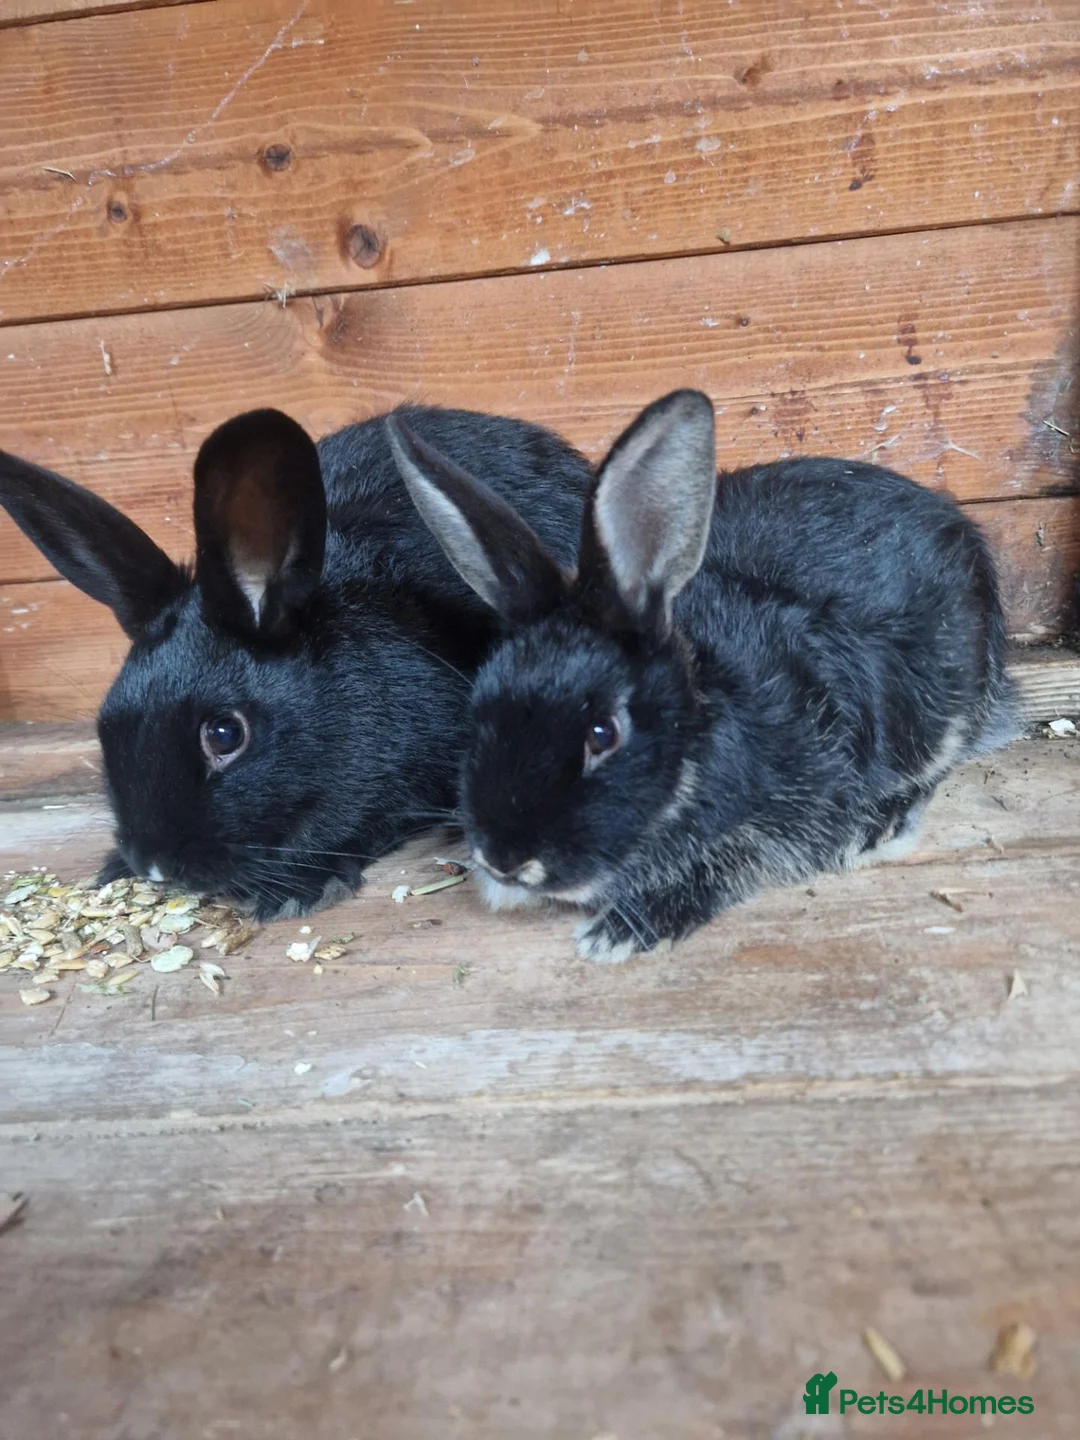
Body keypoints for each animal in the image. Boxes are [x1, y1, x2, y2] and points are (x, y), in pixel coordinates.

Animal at [386, 388, 1017, 961]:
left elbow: (735, 860)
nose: (504, 858)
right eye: (478, 712)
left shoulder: (799, 804)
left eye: (603, 734)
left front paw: (621, 932)